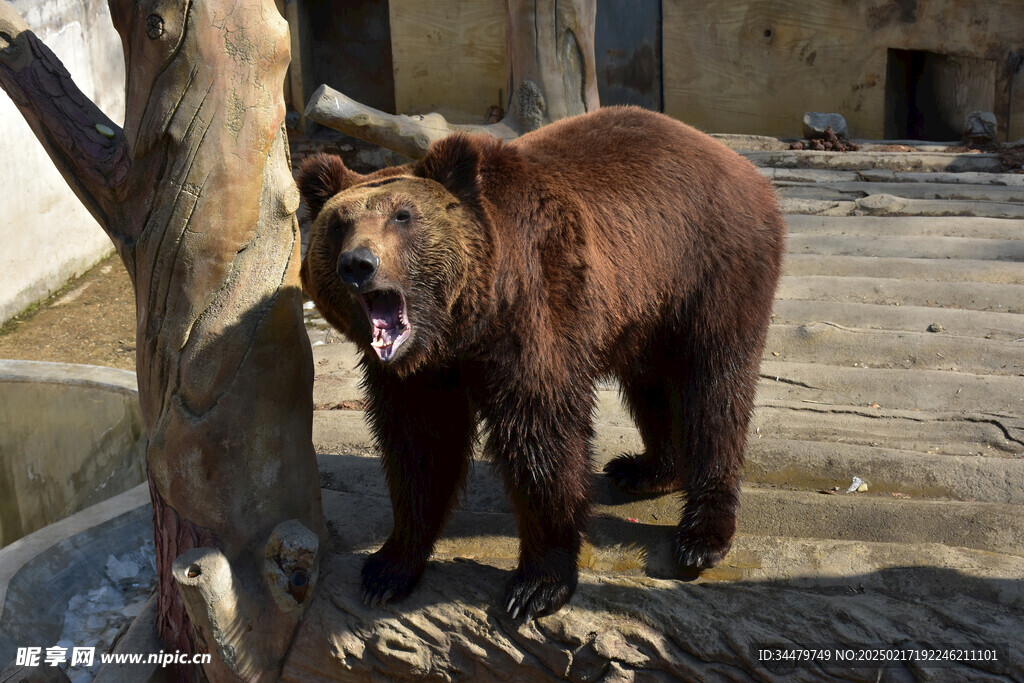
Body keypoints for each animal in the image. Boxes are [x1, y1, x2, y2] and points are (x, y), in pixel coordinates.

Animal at [296, 105, 782, 618]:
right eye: (338, 224)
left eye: (402, 215)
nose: (358, 264)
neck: (460, 328)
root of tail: (736, 161)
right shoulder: (419, 375)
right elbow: (420, 446)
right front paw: (388, 568)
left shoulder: (532, 314)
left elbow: (540, 438)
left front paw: (537, 585)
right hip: (643, 304)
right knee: (652, 384)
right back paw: (646, 469)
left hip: (711, 267)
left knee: (714, 391)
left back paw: (701, 534)